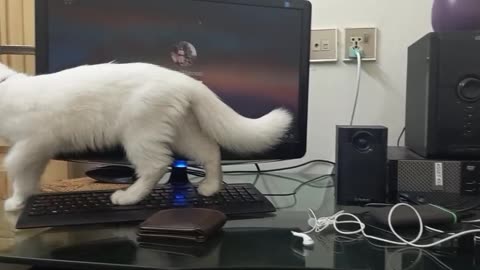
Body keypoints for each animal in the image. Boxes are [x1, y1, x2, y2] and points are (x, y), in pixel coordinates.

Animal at [0, 62, 292, 211]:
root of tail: (185, 79)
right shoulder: (37, 149)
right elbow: (29, 175)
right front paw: (26, 197)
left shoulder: (32, 142)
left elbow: (14, 166)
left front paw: (14, 201)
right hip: (182, 132)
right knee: (210, 151)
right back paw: (210, 187)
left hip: (139, 132)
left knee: (155, 166)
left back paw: (129, 196)